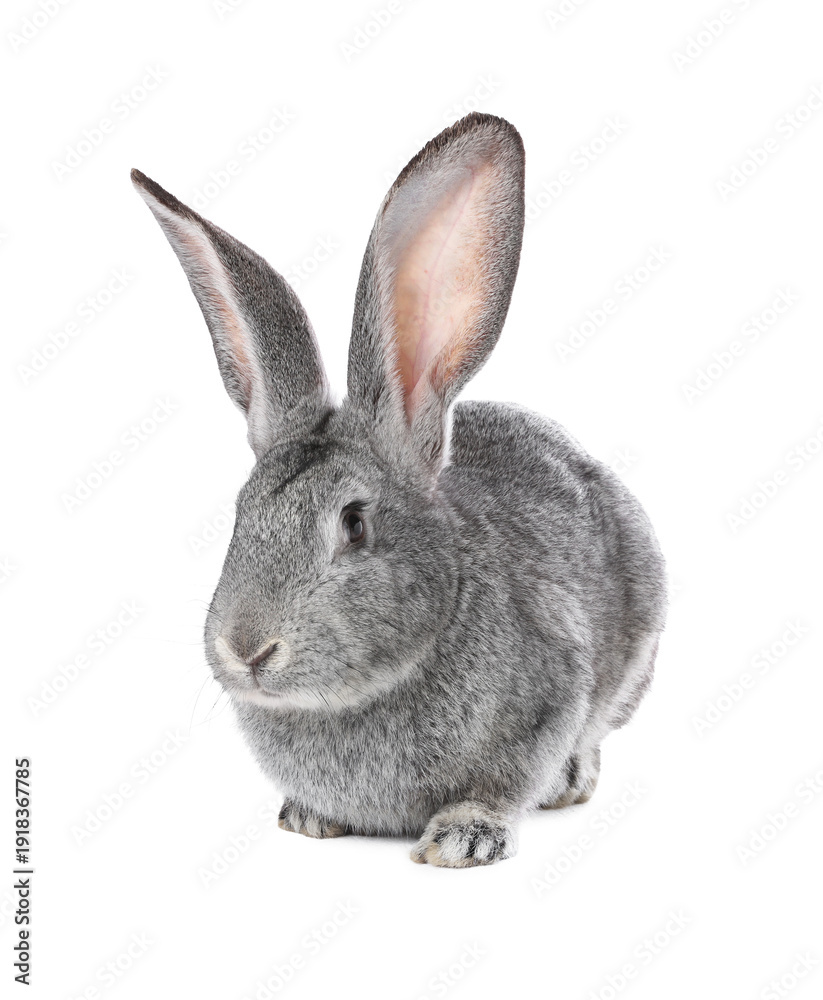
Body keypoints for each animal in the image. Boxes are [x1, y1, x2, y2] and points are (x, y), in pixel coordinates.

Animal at [132, 111, 666, 868]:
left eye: (354, 523)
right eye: (239, 516)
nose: (247, 649)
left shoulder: (552, 692)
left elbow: (506, 781)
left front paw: (462, 838)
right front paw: (309, 817)